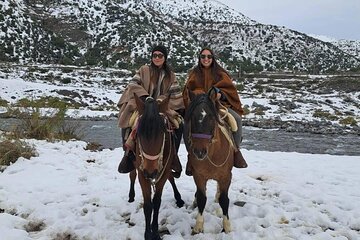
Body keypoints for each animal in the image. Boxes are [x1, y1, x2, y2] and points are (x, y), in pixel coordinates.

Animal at [131, 94, 183, 240]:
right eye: (139, 134)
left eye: (162, 133)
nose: (151, 172)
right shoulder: (142, 173)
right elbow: (148, 205)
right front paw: (148, 234)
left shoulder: (163, 171)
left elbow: (157, 202)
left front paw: (155, 232)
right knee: (132, 174)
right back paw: (131, 195)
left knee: (171, 177)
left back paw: (179, 198)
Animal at [184, 88, 235, 234]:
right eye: (192, 117)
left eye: (211, 117)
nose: (199, 151)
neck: (212, 155)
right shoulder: (199, 176)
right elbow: (202, 198)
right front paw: (198, 226)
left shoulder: (226, 176)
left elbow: (224, 200)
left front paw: (227, 227)